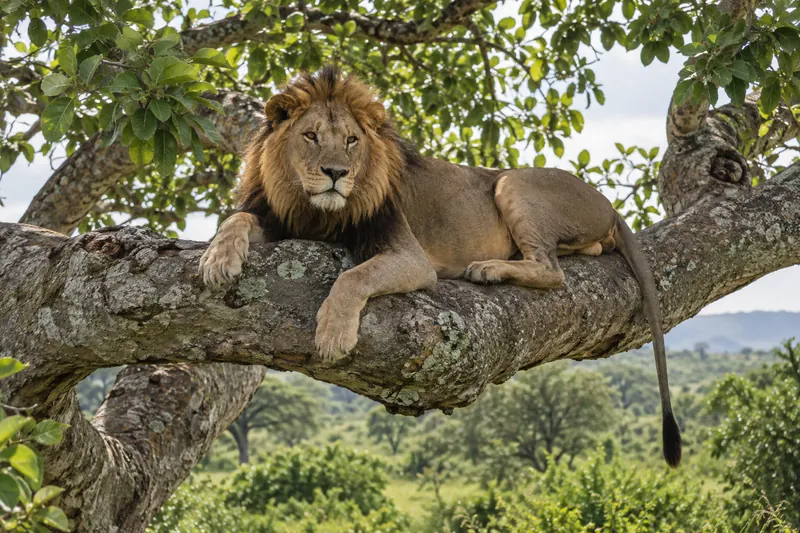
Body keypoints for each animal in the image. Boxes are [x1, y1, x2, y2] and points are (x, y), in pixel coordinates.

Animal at [199, 66, 682, 467]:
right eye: (312, 136)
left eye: (352, 141)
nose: (337, 173)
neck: (316, 211)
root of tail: (609, 204)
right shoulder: (281, 220)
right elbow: (234, 220)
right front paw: (217, 260)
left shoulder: (408, 255)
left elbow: (353, 276)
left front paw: (334, 334)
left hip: (512, 181)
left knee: (550, 269)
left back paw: (489, 268)